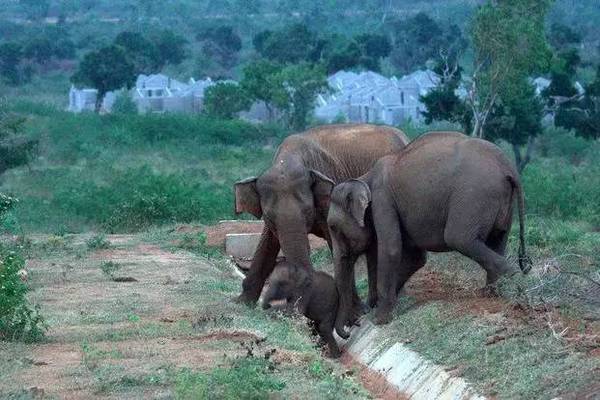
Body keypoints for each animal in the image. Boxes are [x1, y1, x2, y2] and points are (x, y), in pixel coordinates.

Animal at [233, 123, 408, 318]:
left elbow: (337, 247)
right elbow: (267, 244)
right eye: (269, 217)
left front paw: (356, 313)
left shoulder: (330, 200)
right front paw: (241, 303)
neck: (287, 159)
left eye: (307, 211)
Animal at [328, 132, 528, 332]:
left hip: (475, 195)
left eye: (332, 227)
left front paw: (378, 319)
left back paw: (516, 281)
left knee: (459, 238)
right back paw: (492, 293)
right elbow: (415, 258)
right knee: (497, 241)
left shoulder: (383, 200)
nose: (353, 325)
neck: (363, 177)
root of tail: (508, 166)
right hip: (501, 203)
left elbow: (391, 249)